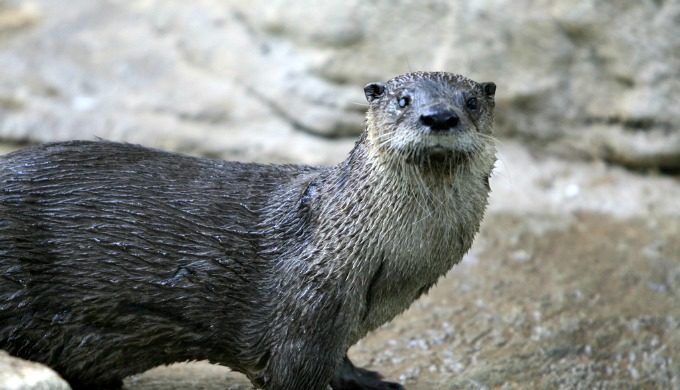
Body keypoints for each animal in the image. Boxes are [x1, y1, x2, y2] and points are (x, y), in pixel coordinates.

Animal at [1, 71, 500, 388]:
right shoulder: (305, 308)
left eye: (471, 101)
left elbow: (340, 363)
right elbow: (292, 373)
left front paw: (370, 380)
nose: (439, 116)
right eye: (403, 100)